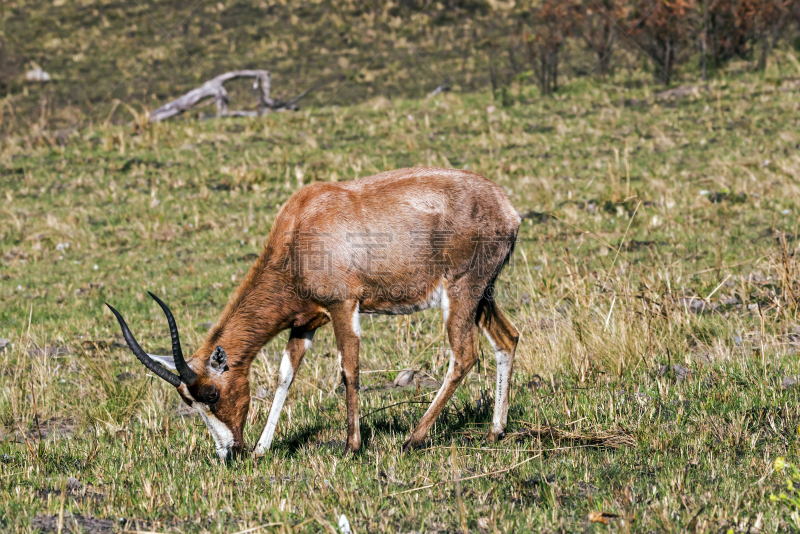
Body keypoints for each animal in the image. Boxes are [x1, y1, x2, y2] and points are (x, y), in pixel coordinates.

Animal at [108, 166, 520, 460]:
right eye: (187, 402)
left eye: (211, 394)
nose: (228, 453)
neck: (301, 226)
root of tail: (508, 210)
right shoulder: (305, 324)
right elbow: (284, 377)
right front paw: (262, 450)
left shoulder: (343, 306)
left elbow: (349, 369)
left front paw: (352, 446)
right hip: (483, 296)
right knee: (507, 338)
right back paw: (495, 431)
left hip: (461, 292)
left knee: (464, 354)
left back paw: (412, 439)